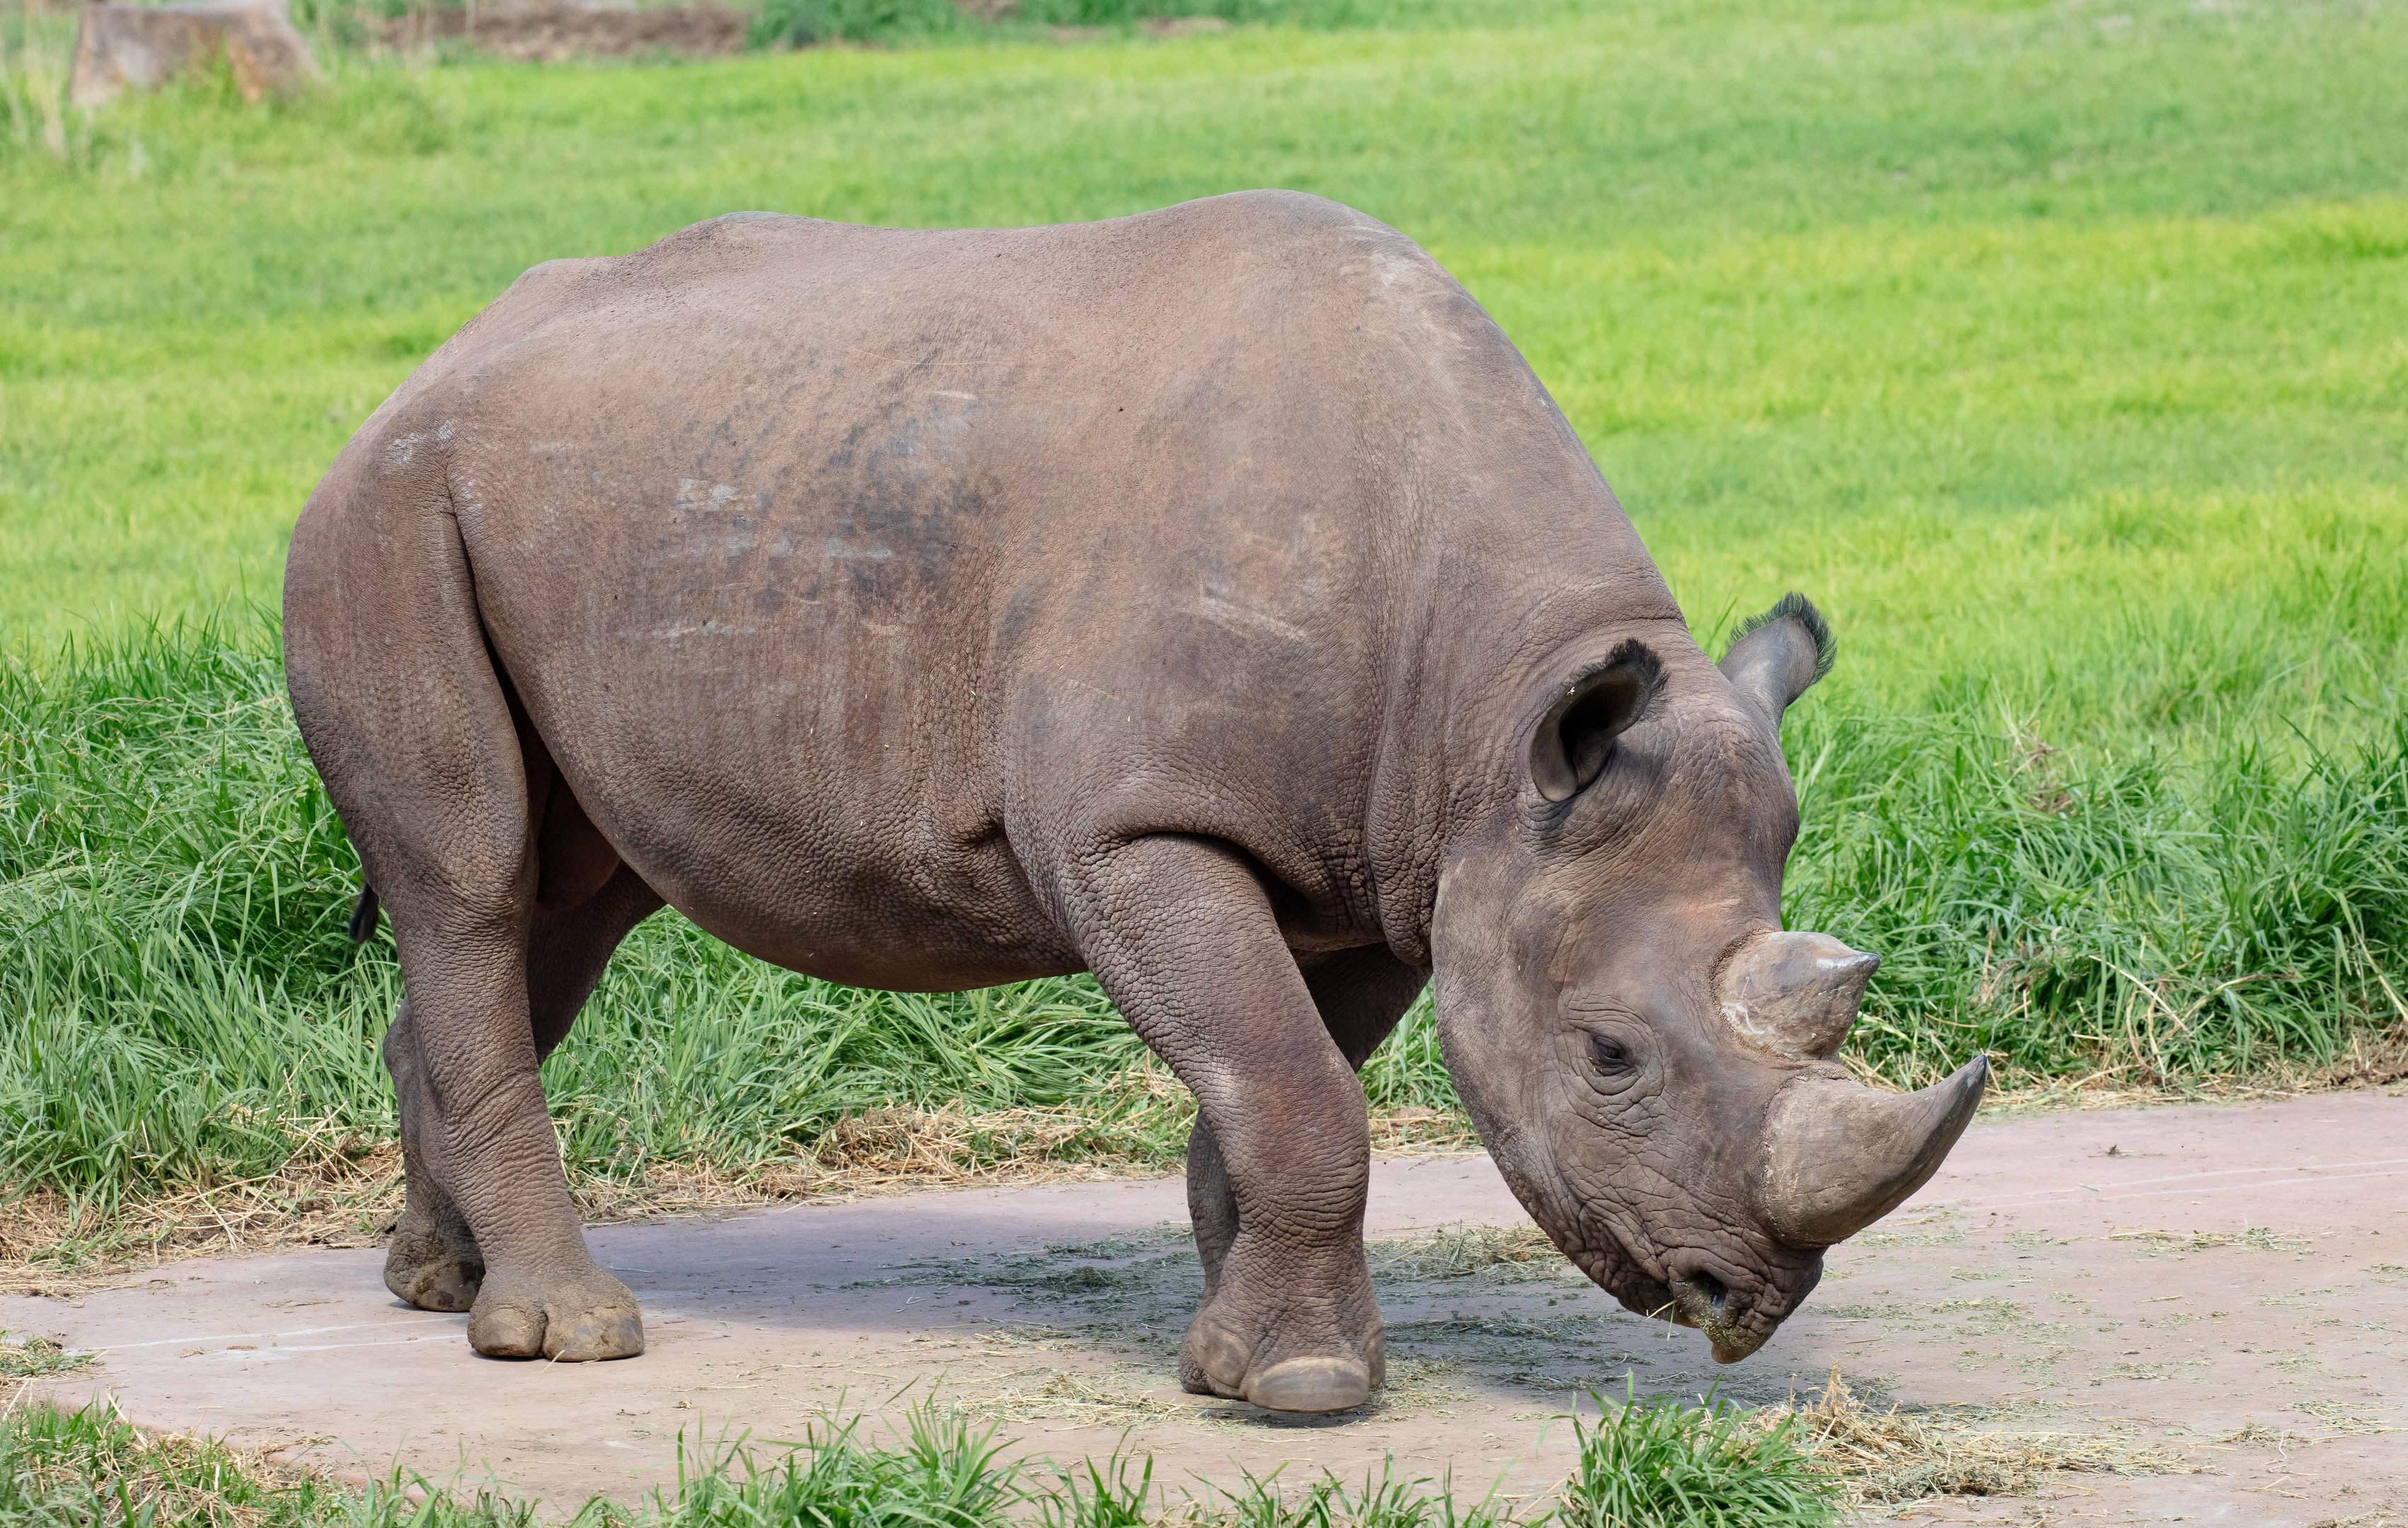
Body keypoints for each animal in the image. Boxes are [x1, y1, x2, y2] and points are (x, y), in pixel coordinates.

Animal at [283, 190, 1985, 1415]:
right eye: (1610, 1055)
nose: (1745, 1305)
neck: (1492, 705)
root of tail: (421, 370)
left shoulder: (1396, 862)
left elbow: (1285, 1083)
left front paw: (1239, 1353)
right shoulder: (1135, 828)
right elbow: (1297, 1090)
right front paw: (1309, 1391)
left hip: (581, 508)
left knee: (562, 911)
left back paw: (437, 1289)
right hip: (387, 517)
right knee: (472, 881)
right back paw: (565, 1339)